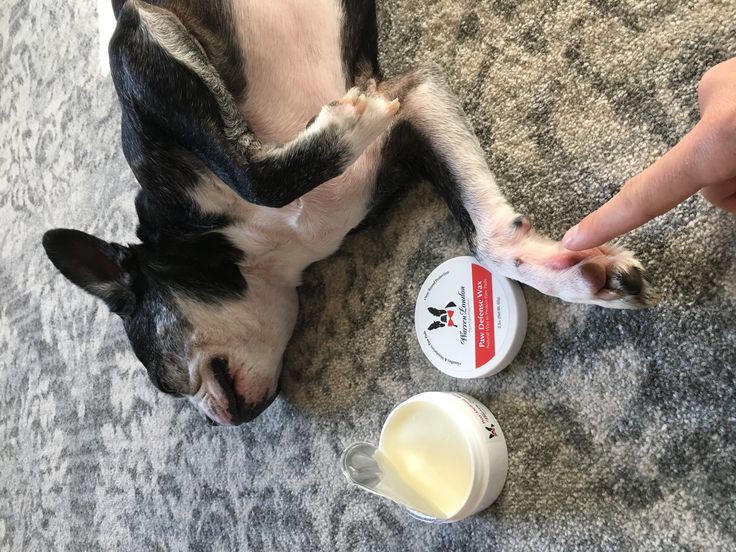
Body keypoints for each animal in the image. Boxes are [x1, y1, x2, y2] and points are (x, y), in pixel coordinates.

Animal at [40, 0, 656, 426]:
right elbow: (489, 239)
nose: (218, 423)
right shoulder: (419, 103)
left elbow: (256, 175)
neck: (262, 249)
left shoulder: (140, 41)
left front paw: (346, 123)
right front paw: (569, 272)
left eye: (162, 381)